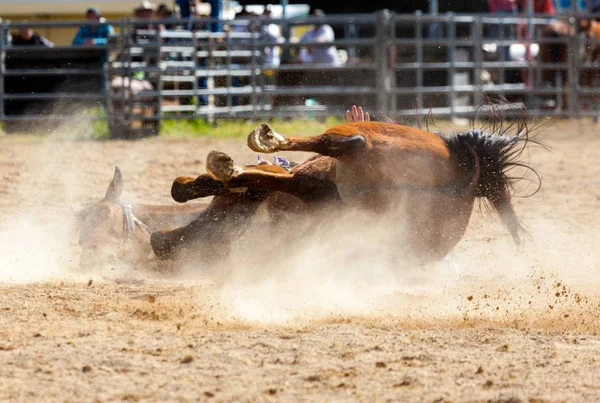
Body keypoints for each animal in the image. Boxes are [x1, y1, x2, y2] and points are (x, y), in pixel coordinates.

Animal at [162, 109, 540, 266]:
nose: (160, 244)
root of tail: (468, 172)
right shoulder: (315, 191)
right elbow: (251, 178)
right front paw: (198, 181)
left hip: (375, 144)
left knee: (347, 142)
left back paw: (267, 137)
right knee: (344, 147)